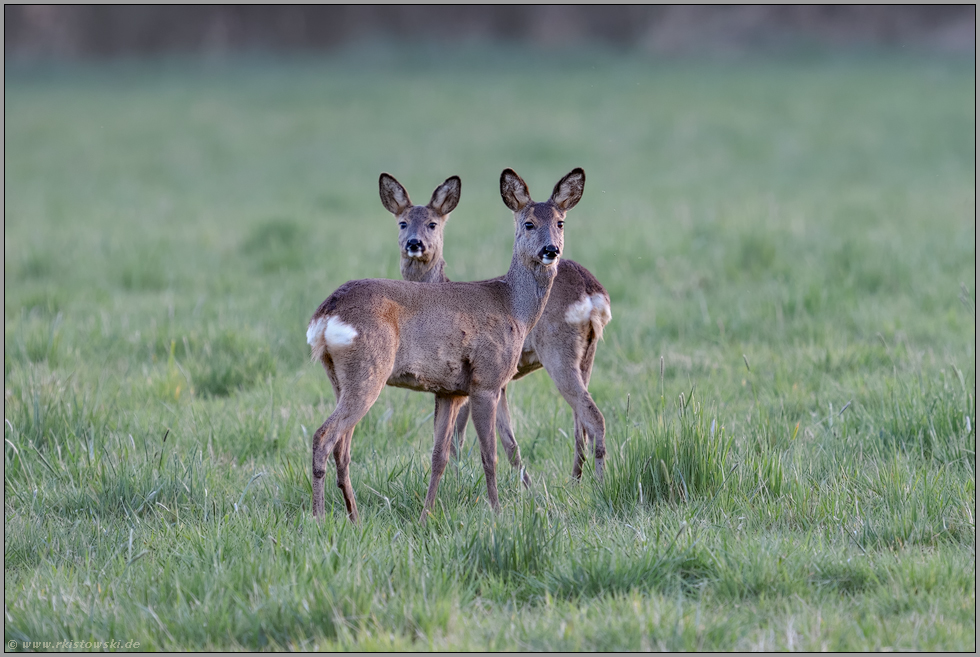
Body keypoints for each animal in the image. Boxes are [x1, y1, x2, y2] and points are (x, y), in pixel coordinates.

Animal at [307, 168, 586, 522]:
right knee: (323, 437)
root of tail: (326, 312)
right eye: (528, 223)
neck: (513, 307)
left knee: (342, 446)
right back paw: (318, 517)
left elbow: (439, 455)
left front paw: (426, 515)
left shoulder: (449, 390)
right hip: (368, 370)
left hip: (338, 378)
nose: (551, 250)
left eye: (560, 222)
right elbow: (489, 454)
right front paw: (497, 512)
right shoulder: (486, 380)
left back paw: (354, 519)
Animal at [379, 172, 611, 484]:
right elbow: (507, 441)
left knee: (592, 416)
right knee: (579, 423)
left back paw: (597, 484)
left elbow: (459, 436)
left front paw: (456, 479)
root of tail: (593, 291)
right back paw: (575, 481)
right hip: (588, 355)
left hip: (558, 351)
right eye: (402, 222)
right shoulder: (495, 381)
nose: (414, 244)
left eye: (432, 224)